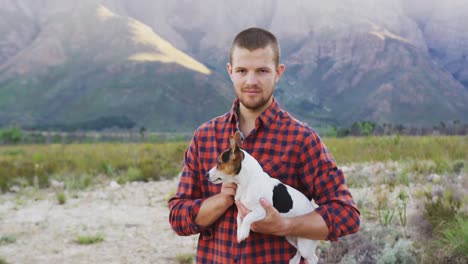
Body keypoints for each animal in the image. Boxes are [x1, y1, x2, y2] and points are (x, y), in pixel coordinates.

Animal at [207, 131, 320, 264]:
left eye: (219, 163)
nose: (206, 174)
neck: (247, 183)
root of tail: (313, 210)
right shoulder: (241, 210)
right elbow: (239, 220)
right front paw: (240, 234)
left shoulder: (261, 211)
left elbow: (248, 218)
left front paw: (244, 232)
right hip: (291, 236)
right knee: (298, 251)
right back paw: (294, 260)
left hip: (305, 244)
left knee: (312, 257)